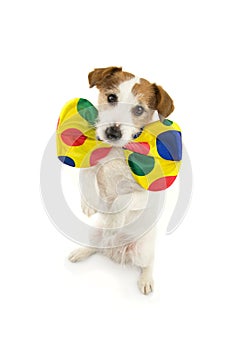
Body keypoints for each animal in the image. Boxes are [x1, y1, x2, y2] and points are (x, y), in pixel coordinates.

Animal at [68, 66, 177, 296]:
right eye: (111, 97)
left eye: (139, 109)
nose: (112, 132)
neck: (116, 152)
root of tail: (114, 251)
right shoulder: (93, 164)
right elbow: (86, 175)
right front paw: (89, 204)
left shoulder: (145, 194)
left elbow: (124, 199)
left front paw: (115, 220)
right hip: (95, 233)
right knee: (94, 246)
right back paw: (81, 252)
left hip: (144, 250)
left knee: (149, 263)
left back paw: (146, 279)